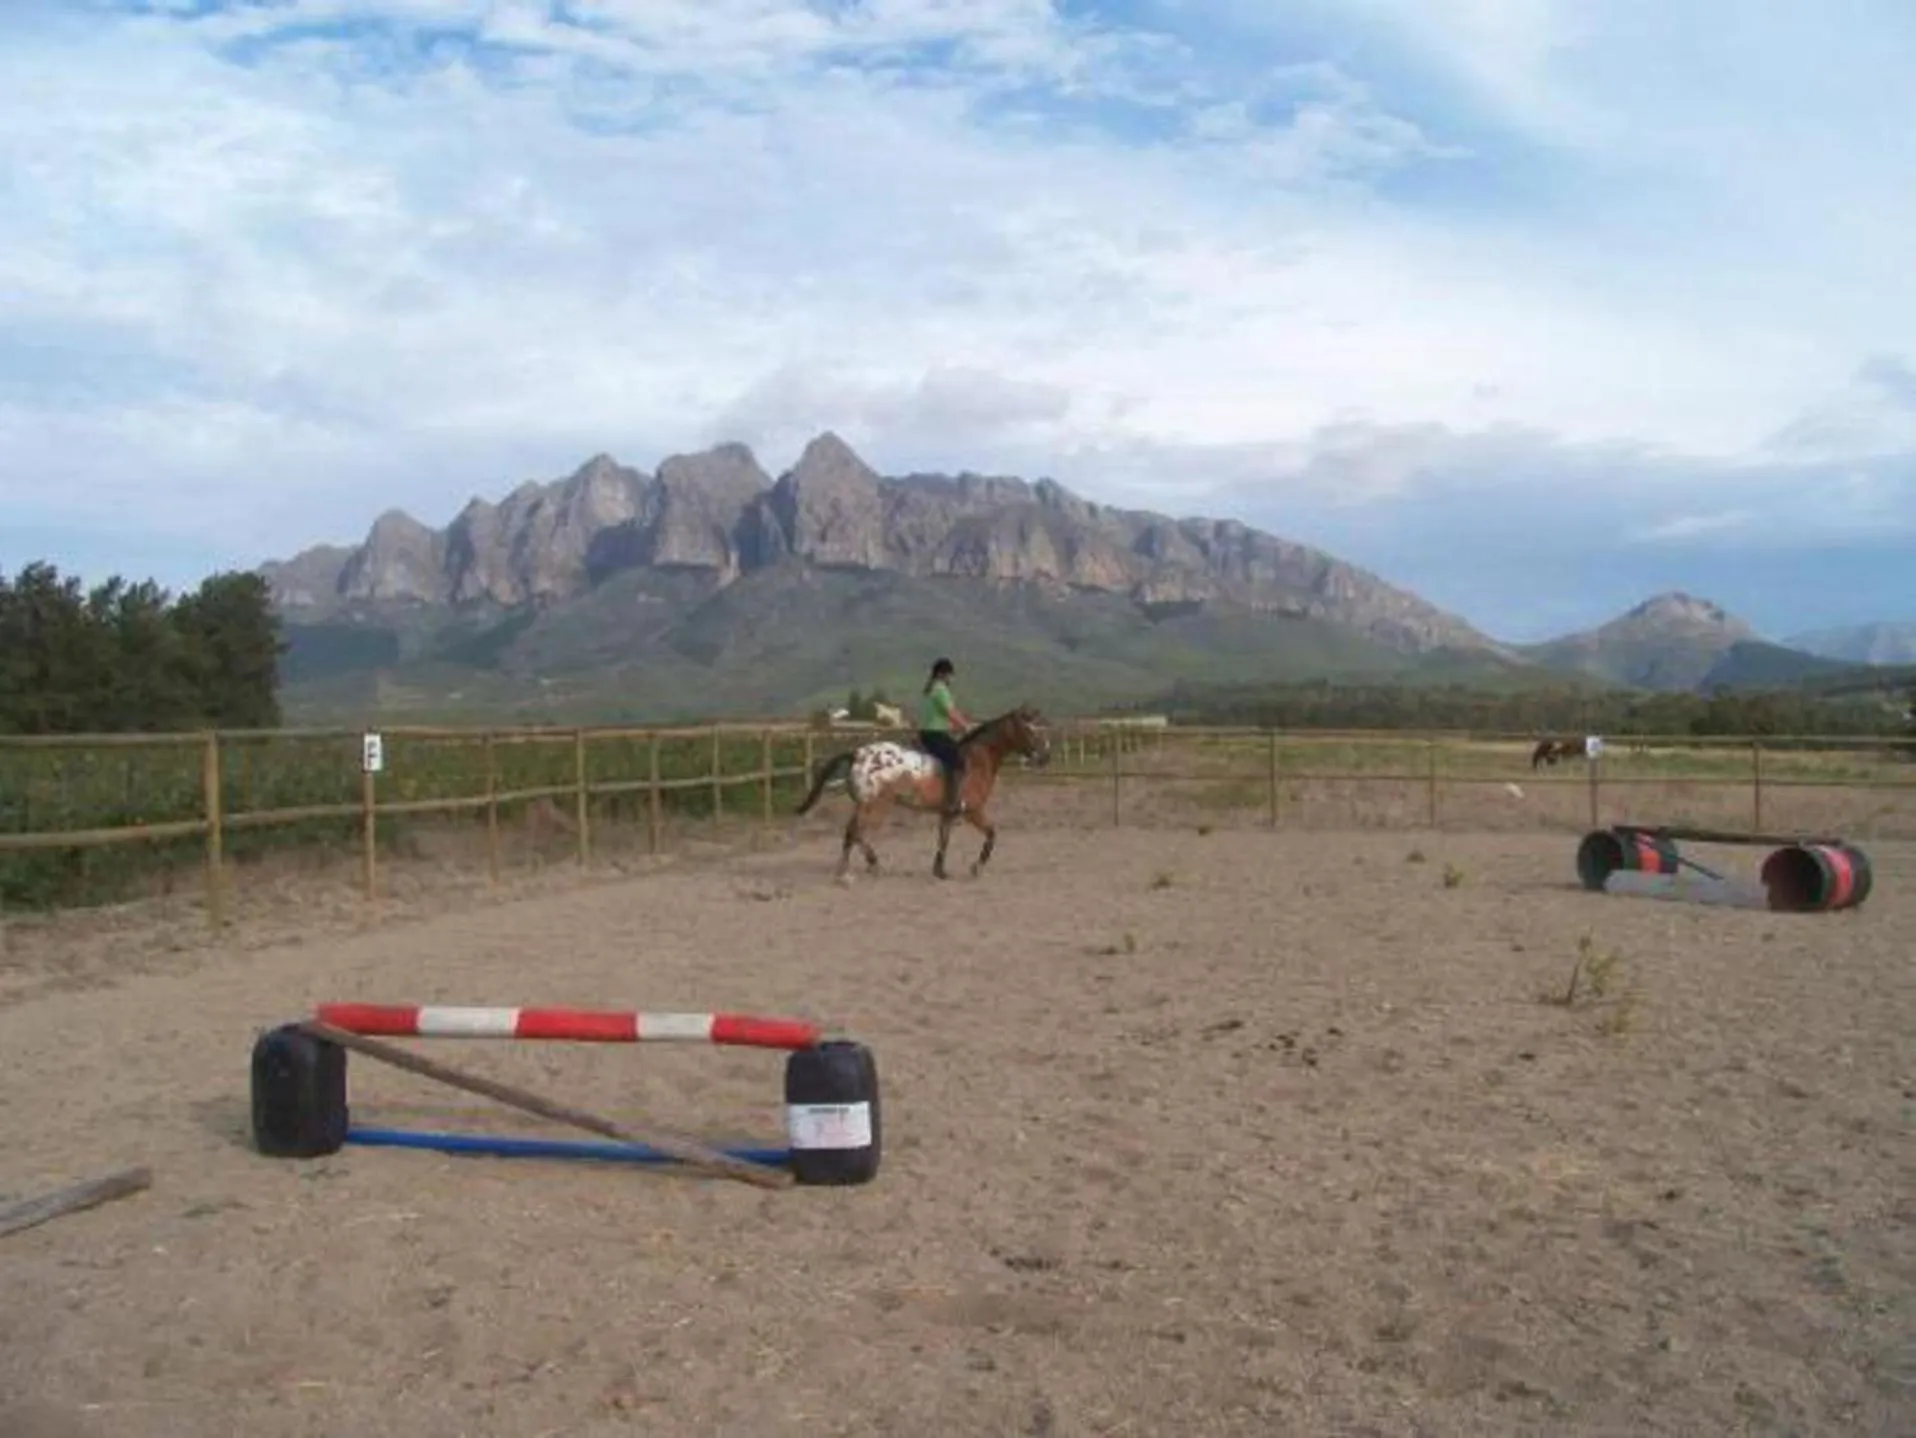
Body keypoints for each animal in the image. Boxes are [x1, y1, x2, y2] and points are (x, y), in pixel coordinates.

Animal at [793, 703, 1052, 882]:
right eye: (1030, 730)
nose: (1045, 757)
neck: (979, 761)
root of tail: (858, 754)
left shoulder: (948, 814)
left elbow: (943, 840)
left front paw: (940, 871)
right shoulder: (973, 811)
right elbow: (991, 834)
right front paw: (976, 867)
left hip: (867, 805)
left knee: (855, 833)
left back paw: (867, 866)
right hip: (876, 806)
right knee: (855, 832)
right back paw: (848, 872)